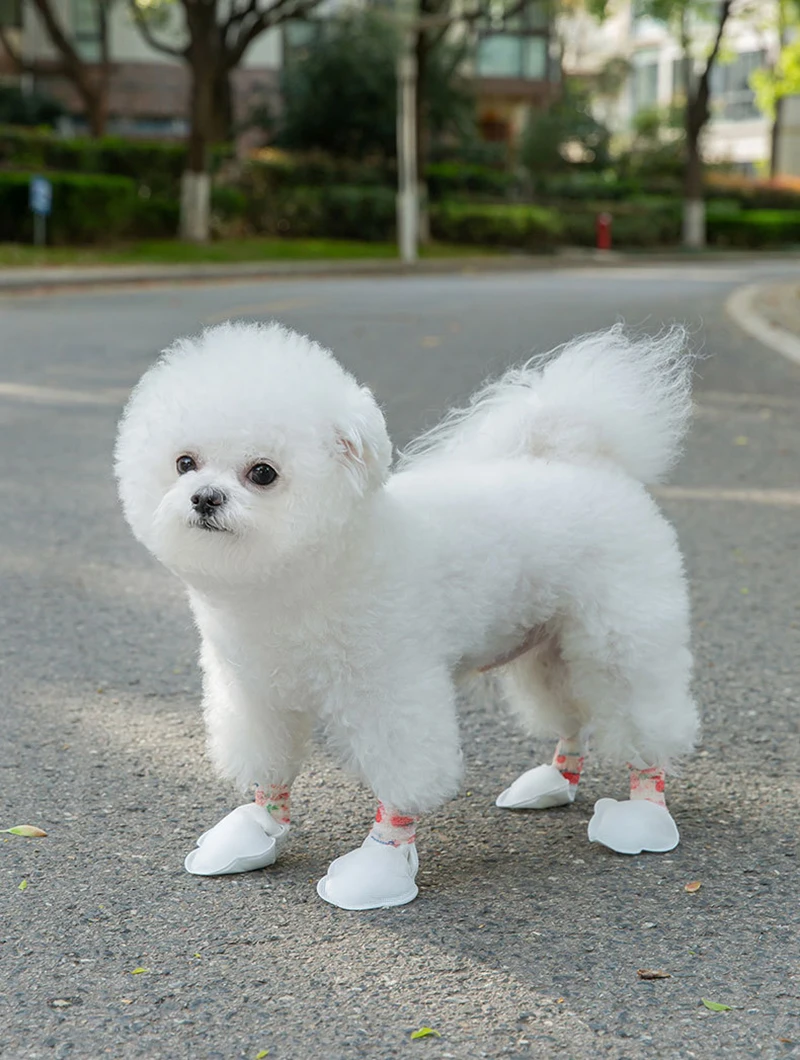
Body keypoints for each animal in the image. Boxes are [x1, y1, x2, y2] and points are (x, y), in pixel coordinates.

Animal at [115, 321, 698, 909]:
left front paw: (379, 866)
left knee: (642, 720)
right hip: (548, 648)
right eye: (184, 463)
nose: (204, 497)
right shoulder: (254, 691)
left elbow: (403, 779)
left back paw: (643, 815)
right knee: (571, 716)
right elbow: (268, 768)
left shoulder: (391, 692)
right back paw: (555, 782)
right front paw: (256, 829)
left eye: (262, 473)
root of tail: (584, 458)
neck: (307, 577)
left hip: (619, 636)